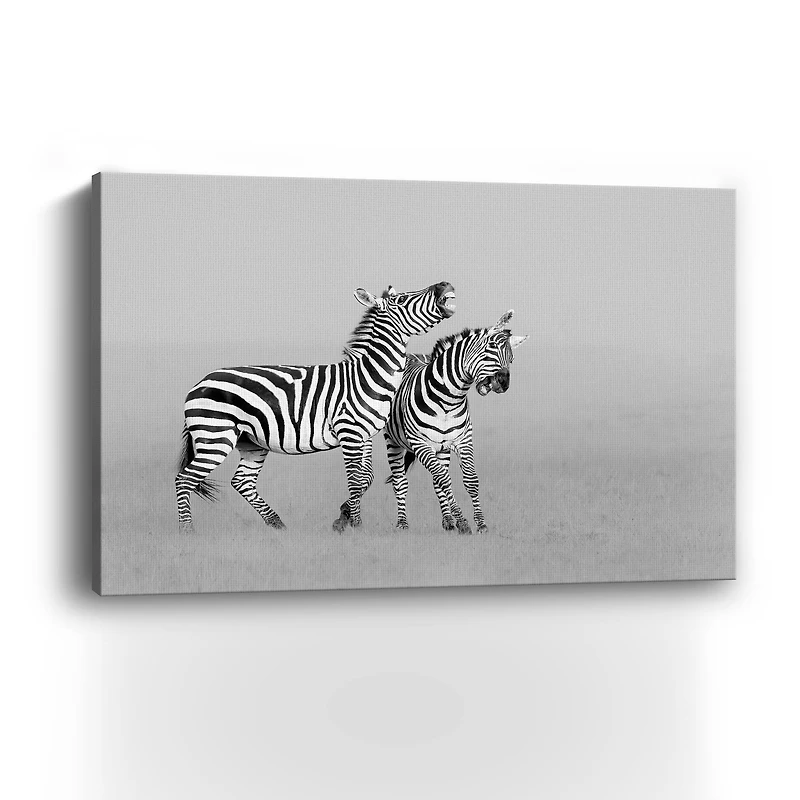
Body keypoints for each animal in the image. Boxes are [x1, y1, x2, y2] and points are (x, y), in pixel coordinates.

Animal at [175, 282, 456, 534]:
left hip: (251, 442)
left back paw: (278, 525)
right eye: (402, 299)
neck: (368, 375)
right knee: (184, 479)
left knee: (242, 481)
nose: (444, 285)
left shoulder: (364, 436)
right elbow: (355, 480)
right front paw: (356, 526)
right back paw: (187, 531)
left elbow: (366, 478)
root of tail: (199, 384)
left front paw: (344, 517)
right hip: (216, 436)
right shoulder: (349, 432)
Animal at [348, 310, 527, 534]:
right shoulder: (420, 444)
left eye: (511, 359)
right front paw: (463, 522)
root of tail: (410, 355)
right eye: (489, 351)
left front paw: (480, 523)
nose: (504, 382)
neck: (448, 400)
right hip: (394, 441)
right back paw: (402, 523)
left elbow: (469, 480)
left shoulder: (462, 441)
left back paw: (447, 521)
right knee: (401, 482)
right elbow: (444, 479)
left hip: (441, 448)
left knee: (435, 480)